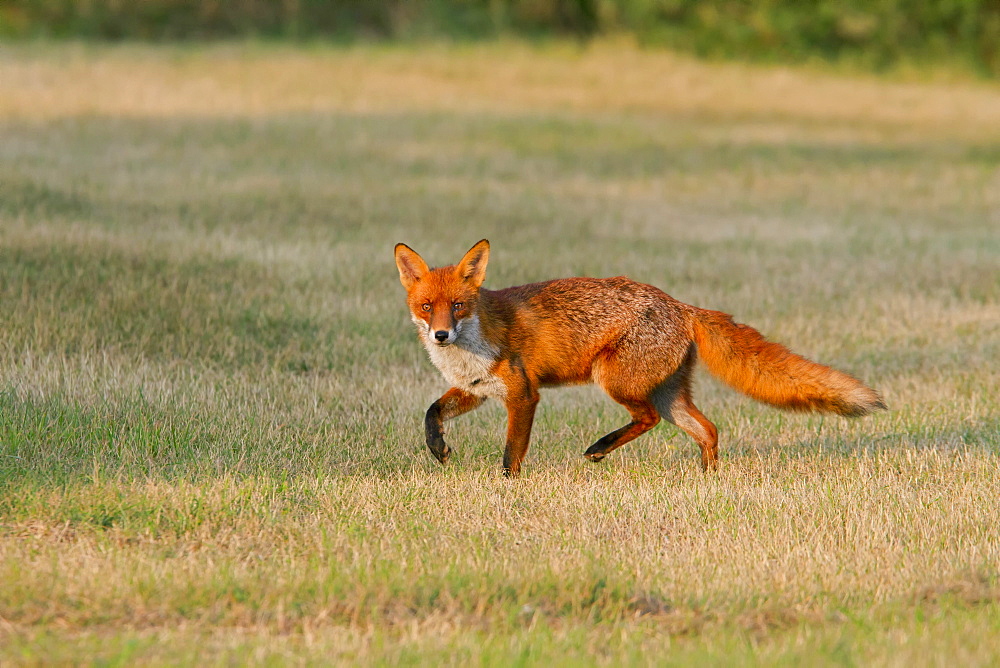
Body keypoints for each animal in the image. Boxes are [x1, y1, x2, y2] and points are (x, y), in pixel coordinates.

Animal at [394, 239, 888, 474]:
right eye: (427, 306)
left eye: (459, 306)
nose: (441, 335)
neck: (471, 344)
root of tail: (682, 305)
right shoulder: (475, 389)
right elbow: (431, 412)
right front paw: (438, 449)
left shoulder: (523, 395)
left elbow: (511, 452)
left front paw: (507, 487)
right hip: (671, 396)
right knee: (708, 429)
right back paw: (708, 479)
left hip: (615, 380)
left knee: (647, 418)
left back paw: (600, 448)